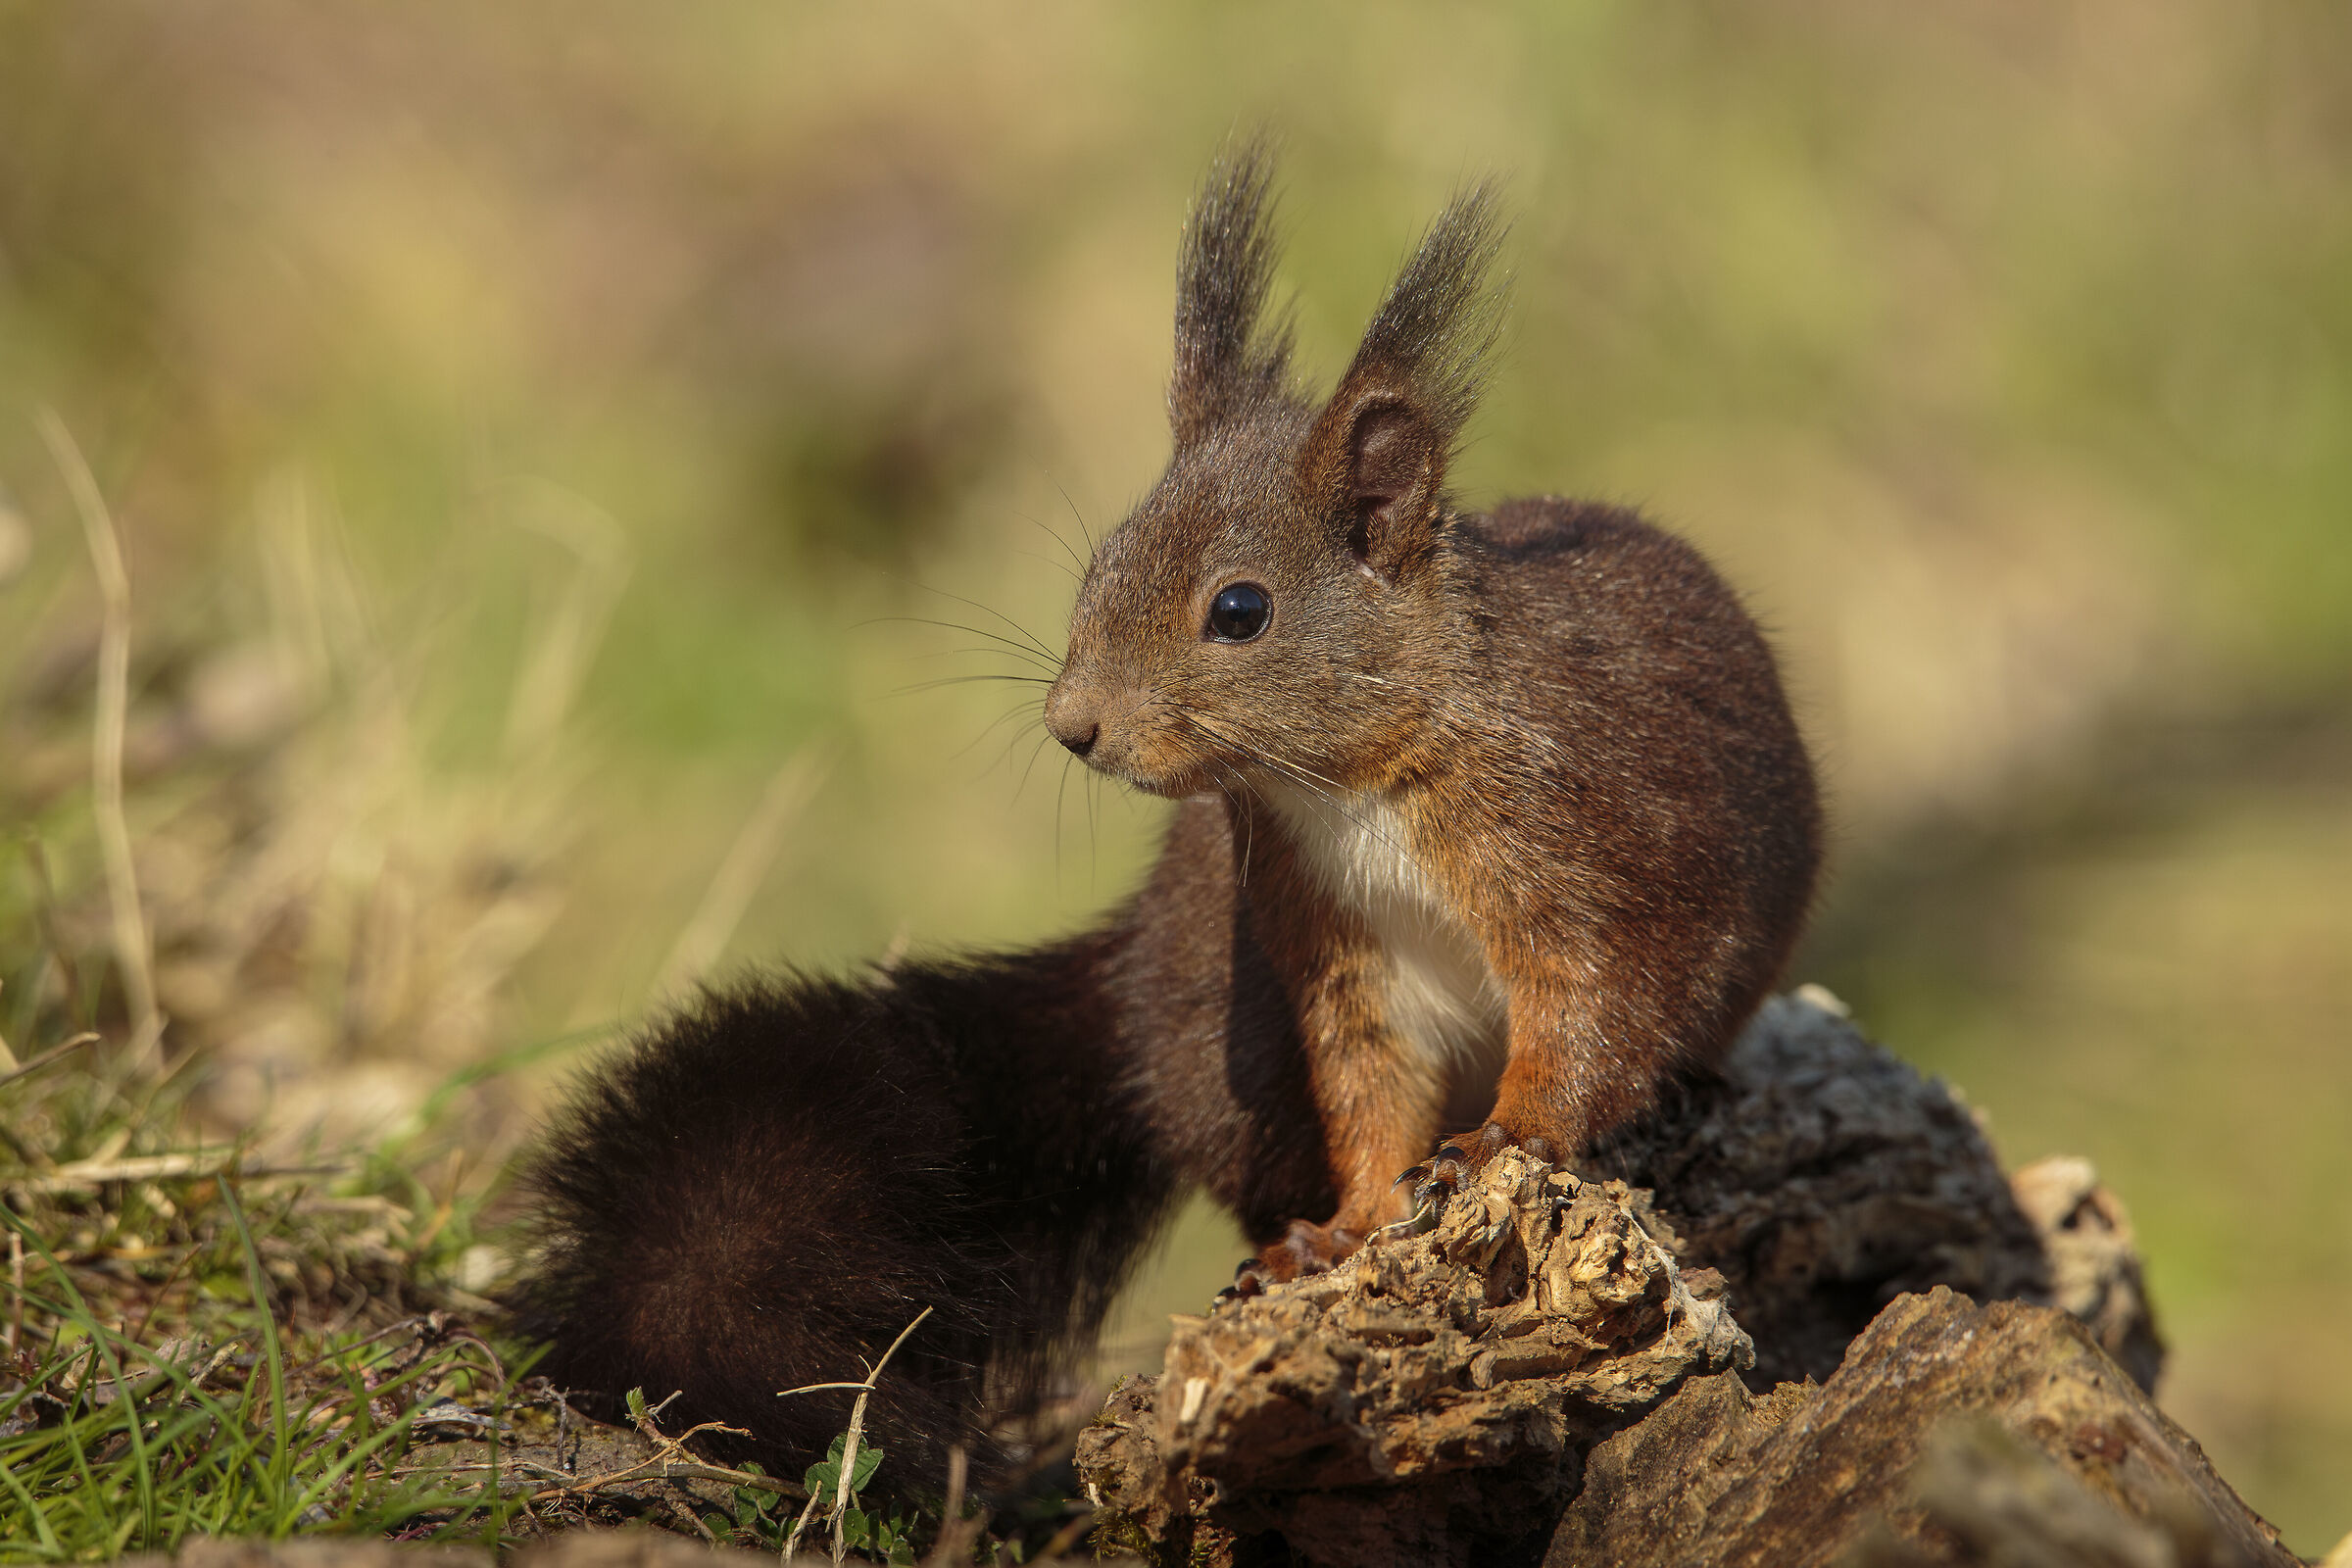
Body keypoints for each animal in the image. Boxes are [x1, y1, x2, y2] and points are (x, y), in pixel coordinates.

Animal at [513, 142, 1820, 1485]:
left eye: (1239, 610)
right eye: (1101, 564)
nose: (1073, 724)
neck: (1355, 785)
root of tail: (1133, 965)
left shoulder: (1584, 855)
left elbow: (1591, 1016)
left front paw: (1512, 1136)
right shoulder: (1335, 946)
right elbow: (1371, 1089)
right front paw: (1351, 1224)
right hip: (1218, 1049)